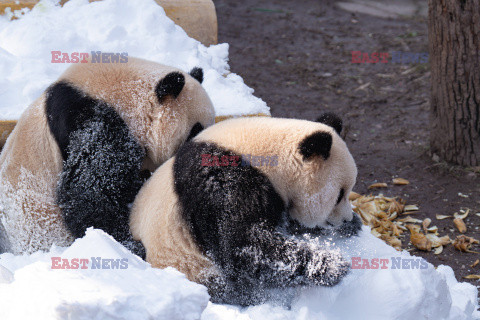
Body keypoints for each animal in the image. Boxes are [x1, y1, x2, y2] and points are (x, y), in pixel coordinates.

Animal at [129, 114, 362, 304]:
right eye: (339, 195)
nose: (345, 219)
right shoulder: (223, 182)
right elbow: (244, 245)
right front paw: (332, 265)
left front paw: (352, 226)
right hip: (185, 263)